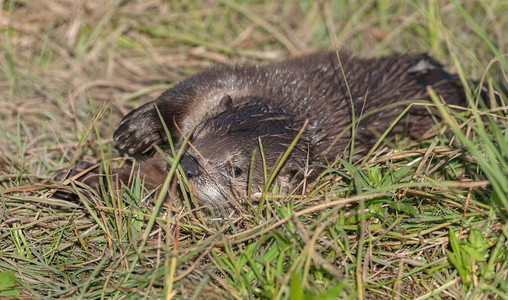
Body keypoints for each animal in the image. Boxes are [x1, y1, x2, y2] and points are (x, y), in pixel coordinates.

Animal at [62, 51, 472, 206]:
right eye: (197, 136)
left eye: (236, 169)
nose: (190, 166)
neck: (294, 106)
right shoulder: (229, 78)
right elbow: (177, 98)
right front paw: (138, 130)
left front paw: (87, 182)